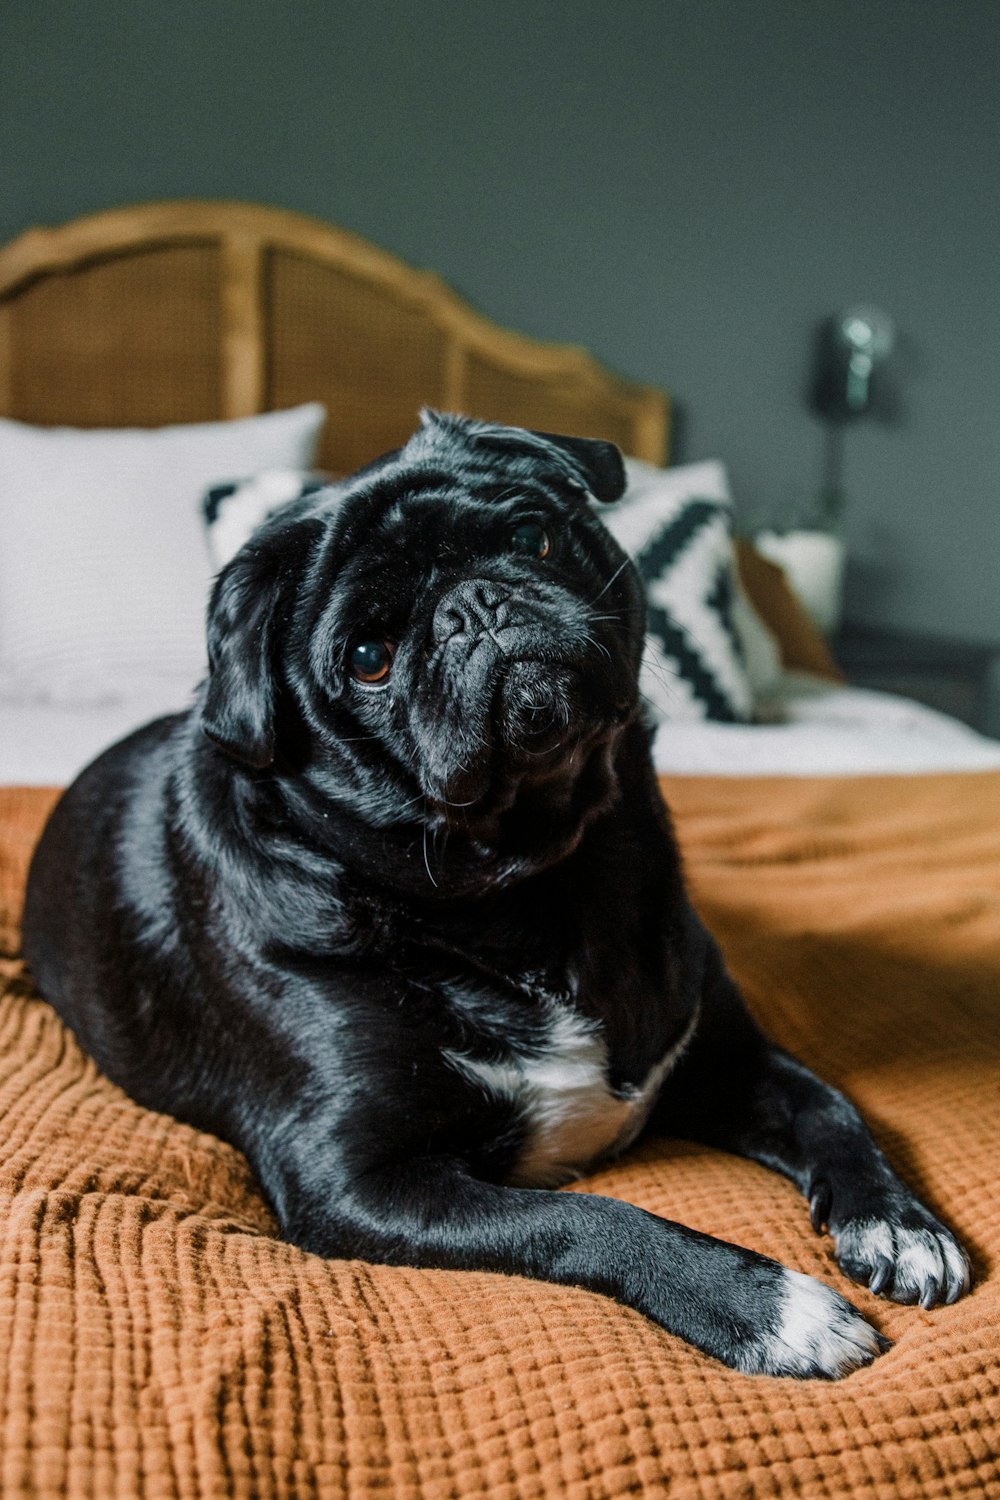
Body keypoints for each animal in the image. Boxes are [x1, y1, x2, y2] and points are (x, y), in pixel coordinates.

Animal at [23, 411, 971, 1374]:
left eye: (531, 538)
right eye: (367, 659)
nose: (472, 607)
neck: (536, 882)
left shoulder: (730, 1058)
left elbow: (830, 1107)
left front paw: (897, 1223)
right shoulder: (359, 1184)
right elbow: (588, 1217)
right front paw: (766, 1306)